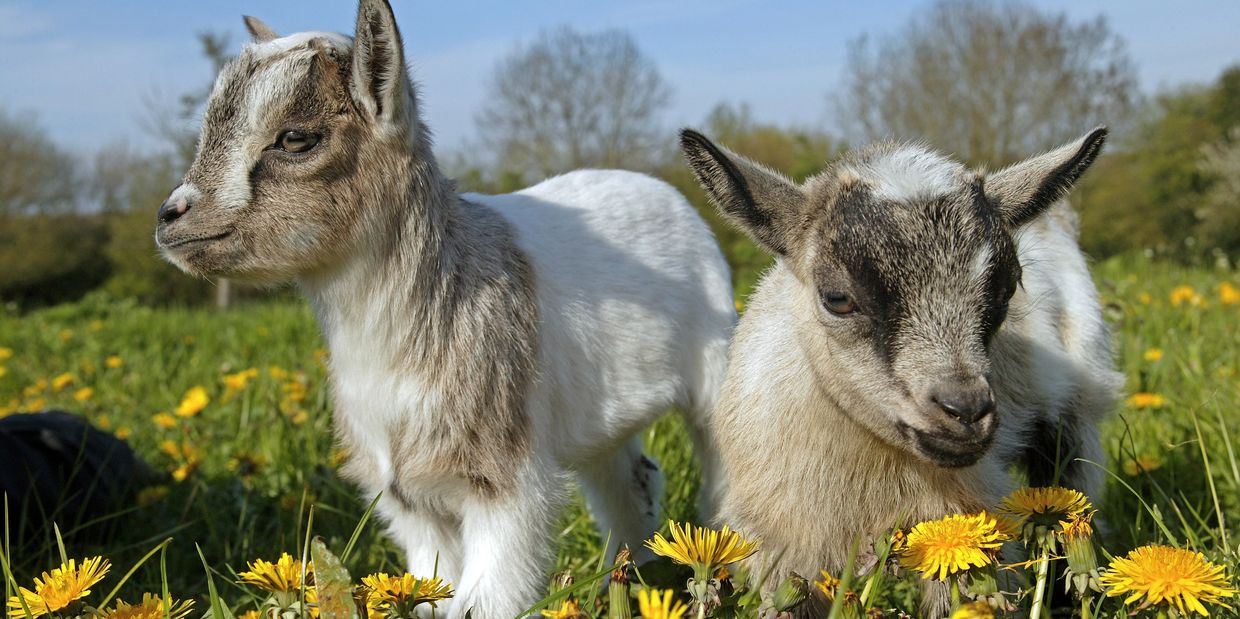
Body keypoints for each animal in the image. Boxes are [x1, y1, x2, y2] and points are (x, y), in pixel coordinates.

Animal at [155, 2, 735, 615]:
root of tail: (662, 191)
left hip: (715, 370)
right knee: (633, 479)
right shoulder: (406, 499)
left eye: (294, 138)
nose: (170, 218)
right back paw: (632, 579)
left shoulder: (505, 479)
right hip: (603, 417)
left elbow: (486, 598)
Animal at [680, 128, 1122, 610]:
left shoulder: (964, 521)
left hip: (1079, 409)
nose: (966, 411)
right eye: (837, 298)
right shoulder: (783, 545)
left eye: (1007, 292)